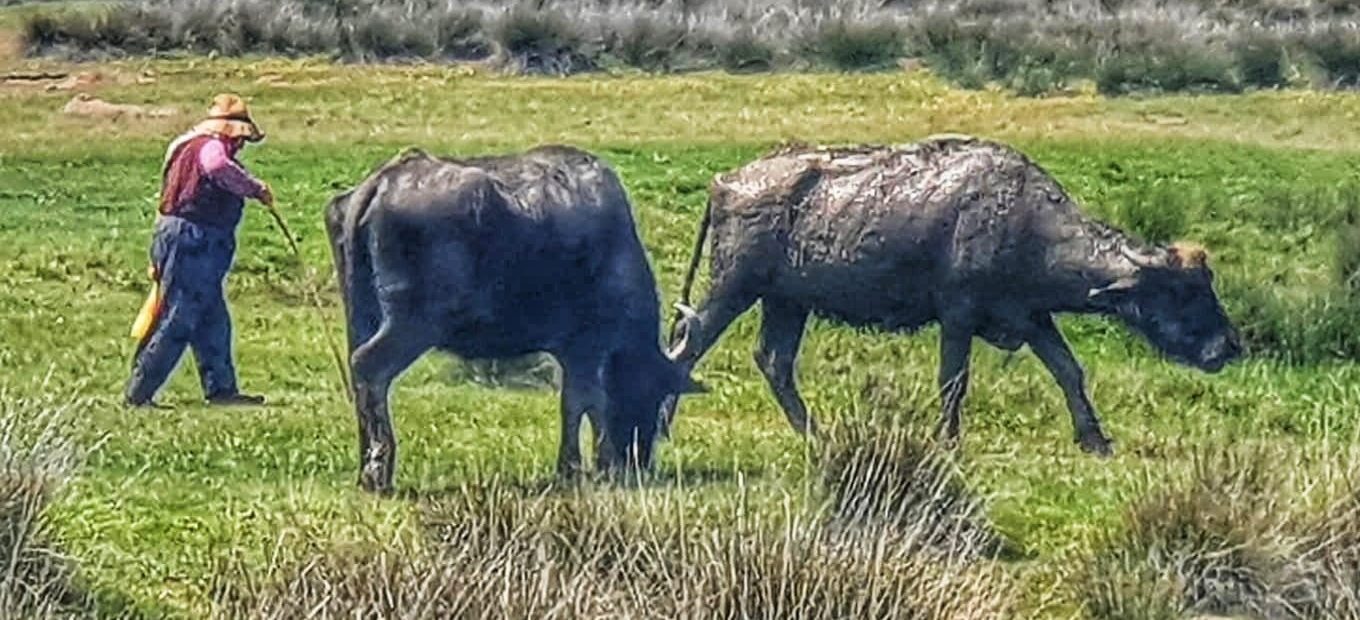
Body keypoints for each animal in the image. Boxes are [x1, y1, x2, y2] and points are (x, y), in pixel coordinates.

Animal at [326, 145, 701, 494]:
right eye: (655, 393)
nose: (639, 461)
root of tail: (380, 183)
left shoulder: (572, 353)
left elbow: (575, 403)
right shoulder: (587, 347)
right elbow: (585, 401)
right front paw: (588, 465)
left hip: (361, 318)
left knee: (359, 377)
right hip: (411, 323)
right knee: (369, 366)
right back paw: (378, 472)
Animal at [666, 135, 1245, 454]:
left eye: (1206, 284)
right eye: (1182, 292)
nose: (1230, 347)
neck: (1025, 224)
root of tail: (727, 180)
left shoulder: (1031, 317)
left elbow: (1069, 370)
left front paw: (1094, 439)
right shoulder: (958, 315)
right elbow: (953, 382)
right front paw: (947, 441)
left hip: (787, 303)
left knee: (773, 362)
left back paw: (816, 436)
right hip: (734, 288)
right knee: (687, 347)